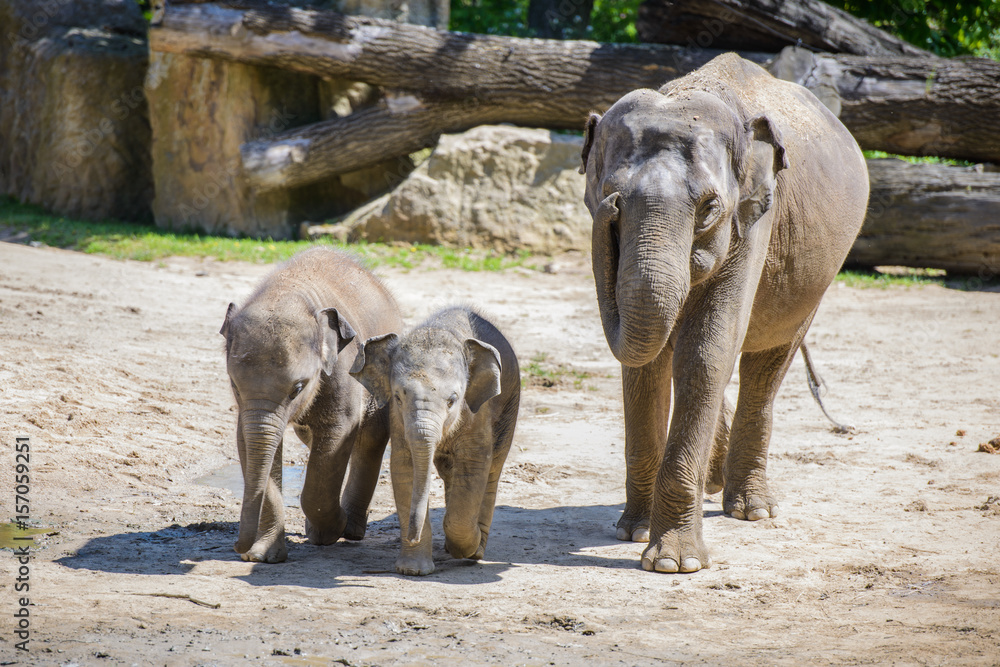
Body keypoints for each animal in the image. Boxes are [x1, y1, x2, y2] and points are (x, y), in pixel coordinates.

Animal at [220, 247, 402, 563]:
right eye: (234, 385)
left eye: (298, 388)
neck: (287, 292)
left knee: (370, 438)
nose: (240, 550)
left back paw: (350, 529)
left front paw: (330, 531)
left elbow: (339, 433)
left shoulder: (343, 368)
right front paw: (266, 557)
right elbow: (248, 441)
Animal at [349, 306, 520, 576]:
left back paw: (477, 549)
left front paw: (467, 548)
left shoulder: (476, 412)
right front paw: (413, 570)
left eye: (452, 400)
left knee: (493, 467)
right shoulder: (398, 420)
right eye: (398, 397)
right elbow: (405, 467)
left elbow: (473, 464)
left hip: (510, 404)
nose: (412, 535)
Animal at [580, 53, 869, 573]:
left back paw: (751, 510)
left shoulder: (754, 218)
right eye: (611, 195)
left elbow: (706, 351)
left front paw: (673, 564)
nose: (609, 207)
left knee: (767, 362)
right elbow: (645, 364)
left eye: (709, 207)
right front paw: (632, 533)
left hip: (816, 280)